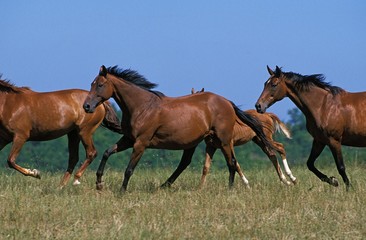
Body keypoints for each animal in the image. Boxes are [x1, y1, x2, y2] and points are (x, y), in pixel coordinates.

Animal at [83, 65, 274, 191]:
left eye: (100, 85)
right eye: (92, 83)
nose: (86, 106)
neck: (142, 107)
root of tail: (227, 102)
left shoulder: (140, 143)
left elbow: (129, 169)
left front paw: (122, 192)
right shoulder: (128, 139)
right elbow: (107, 152)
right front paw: (99, 183)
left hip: (224, 140)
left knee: (231, 162)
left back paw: (230, 189)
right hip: (195, 142)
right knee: (185, 163)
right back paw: (164, 186)